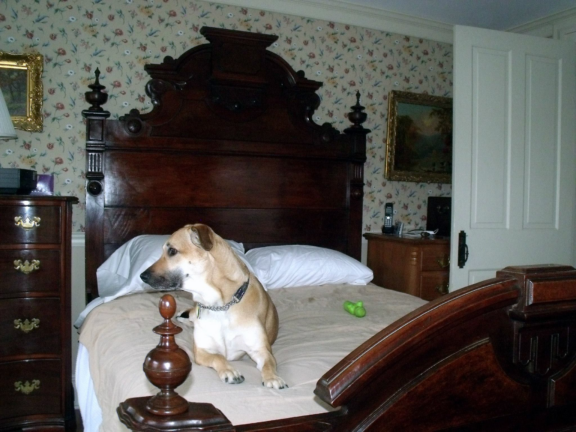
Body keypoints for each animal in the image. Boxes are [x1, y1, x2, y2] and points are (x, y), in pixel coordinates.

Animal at [142, 224, 286, 390]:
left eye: (172, 251)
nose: (142, 276)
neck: (221, 306)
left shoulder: (261, 349)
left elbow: (269, 363)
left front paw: (273, 377)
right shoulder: (202, 351)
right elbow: (218, 357)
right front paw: (229, 371)